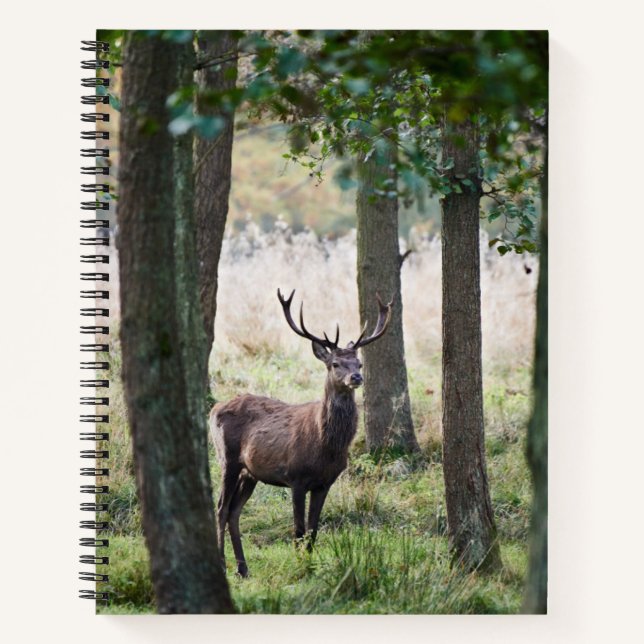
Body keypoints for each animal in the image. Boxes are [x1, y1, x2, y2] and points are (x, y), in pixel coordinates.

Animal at [210, 288, 392, 577]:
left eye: (359, 363)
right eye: (335, 363)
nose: (356, 378)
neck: (325, 447)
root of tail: (213, 409)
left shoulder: (324, 483)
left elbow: (313, 531)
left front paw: (310, 565)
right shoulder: (295, 477)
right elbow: (297, 530)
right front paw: (300, 568)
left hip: (250, 472)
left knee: (234, 511)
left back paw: (243, 568)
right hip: (227, 459)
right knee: (220, 508)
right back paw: (223, 563)